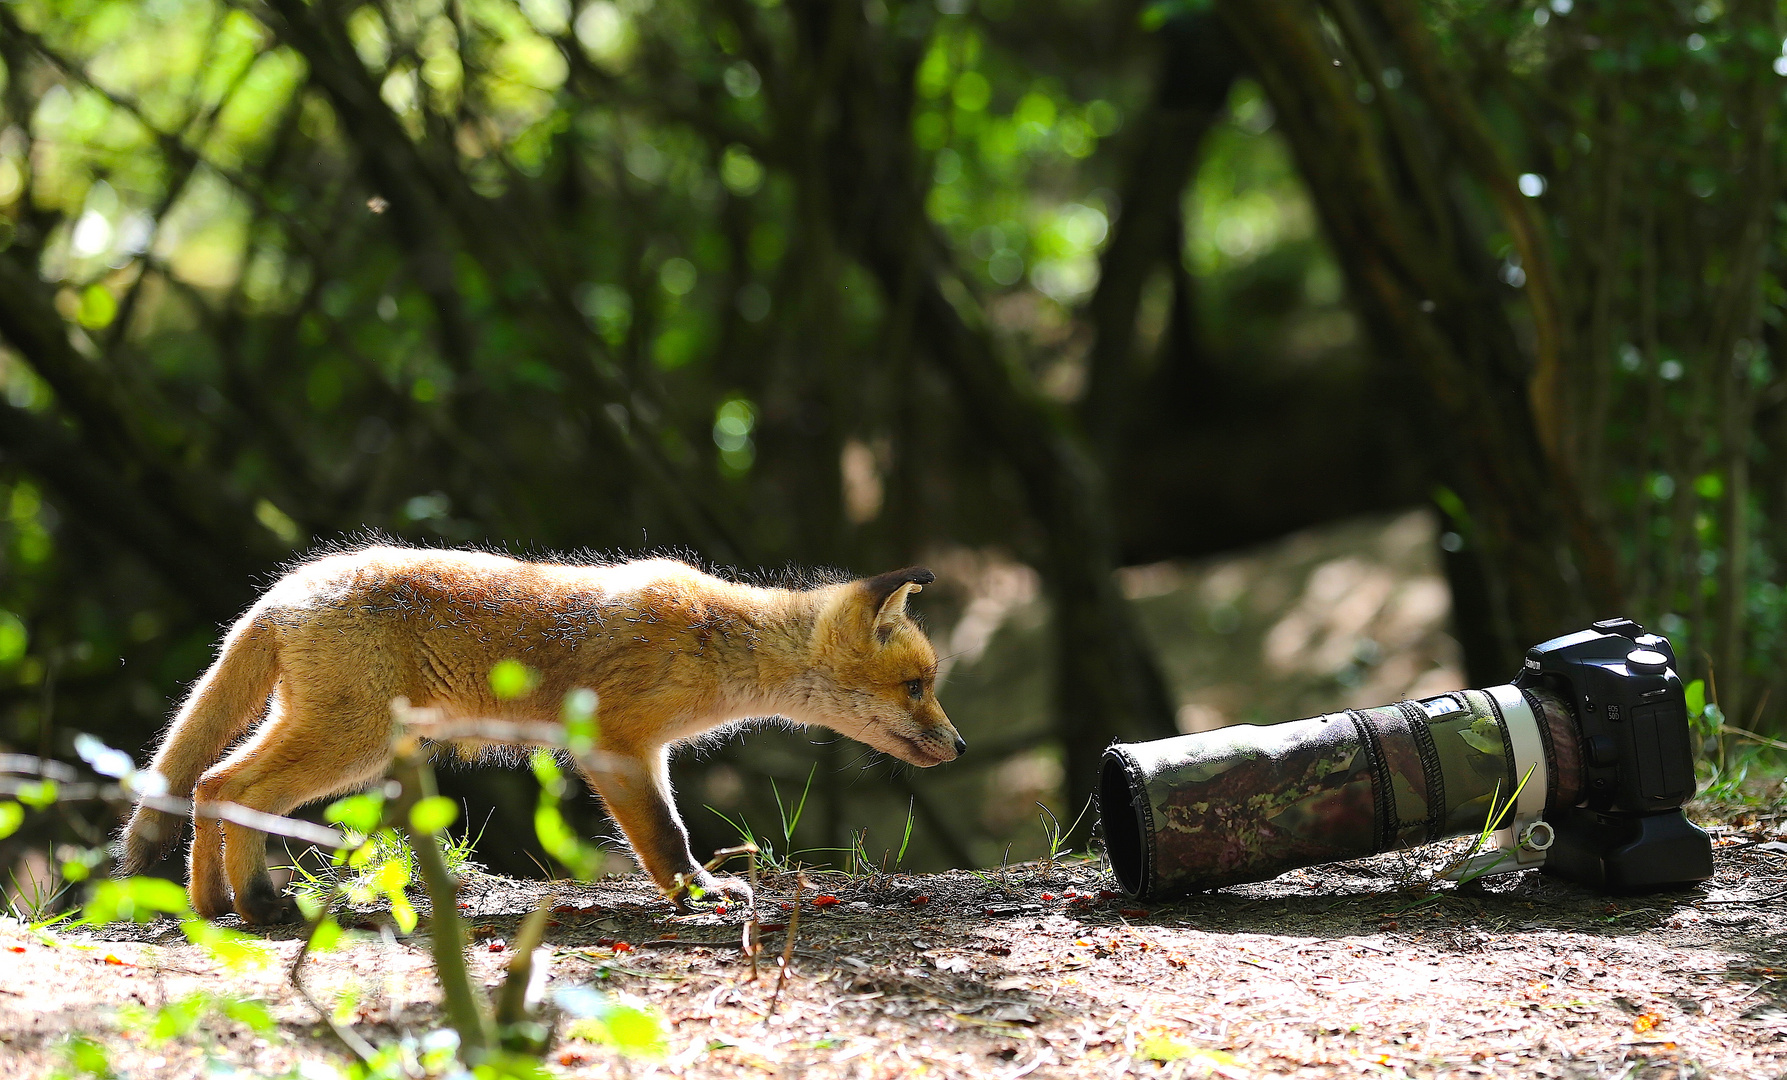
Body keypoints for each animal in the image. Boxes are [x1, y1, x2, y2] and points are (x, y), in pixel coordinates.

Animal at [118, 543, 964, 922]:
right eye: (916, 687)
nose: (959, 746)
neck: (714, 640)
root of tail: (282, 590)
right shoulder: (618, 749)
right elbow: (665, 837)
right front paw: (696, 892)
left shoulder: (644, 752)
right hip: (349, 743)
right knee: (226, 784)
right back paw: (254, 903)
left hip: (336, 737)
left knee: (207, 783)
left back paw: (211, 904)